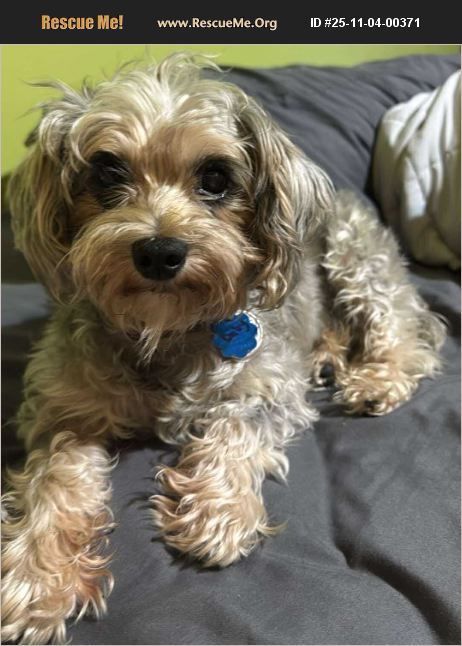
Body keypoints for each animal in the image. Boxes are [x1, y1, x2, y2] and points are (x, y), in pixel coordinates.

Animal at [1, 53, 446, 644]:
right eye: (107, 172)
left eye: (215, 177)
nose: (160, 252)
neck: (164, 329)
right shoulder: (64, 411)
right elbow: (55, 483)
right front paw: (35, 579)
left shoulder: (268, 386)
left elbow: (235, 429)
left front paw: (218, 513)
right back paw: (327, 354)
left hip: (356, 257)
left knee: (403, 332)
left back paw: (377, 379)